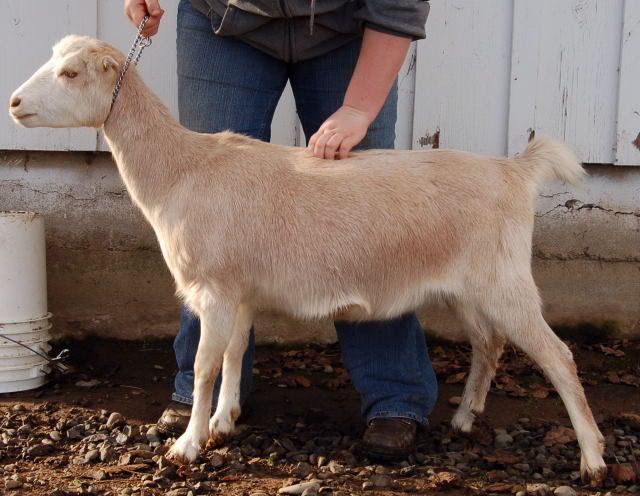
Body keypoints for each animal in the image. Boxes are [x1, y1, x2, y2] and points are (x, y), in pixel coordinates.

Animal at [9, 35, 607, 483]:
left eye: (70, 73)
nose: (14, 104)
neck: (182, 169)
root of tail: (515, 171)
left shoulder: (214, 289)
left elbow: (204, 364)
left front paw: (188, 443)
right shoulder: (242, 291)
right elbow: (234, 354)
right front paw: (224, 422)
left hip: (504, 280)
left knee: (558, 357)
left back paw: (593, 458)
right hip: (466, 288)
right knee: (490, 342)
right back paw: (464, 418)